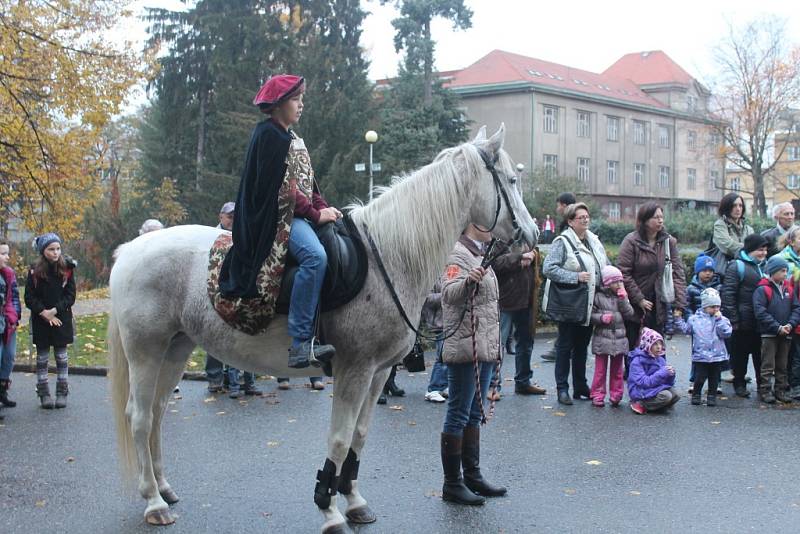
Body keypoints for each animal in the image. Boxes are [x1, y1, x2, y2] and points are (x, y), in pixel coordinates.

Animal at [106, 124, 532, 532]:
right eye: (511, 179)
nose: (530, 234)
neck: (388, 256)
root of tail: (129, 250)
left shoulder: (378, 372)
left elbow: (359, 436)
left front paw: (354, 501)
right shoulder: (354, 370)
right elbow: (340, 439)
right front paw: (329, 509)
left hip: (175, 348)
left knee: (157, 413)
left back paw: (163, 487)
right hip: (145, 350)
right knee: (140, 417)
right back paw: (154, 502)